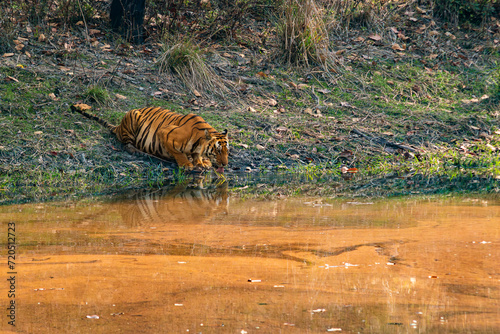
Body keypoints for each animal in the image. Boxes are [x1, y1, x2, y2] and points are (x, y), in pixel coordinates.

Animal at [70, 103, 229, 172]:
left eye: (227, 151)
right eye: (217, 150)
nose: (225, 164)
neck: (200, 142)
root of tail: (119, 126)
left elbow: (196, 155)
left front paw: (201, 162)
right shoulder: (165, 133)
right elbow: (179, 153)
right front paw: (187, 164)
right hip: (133, 118)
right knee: (128, 146)